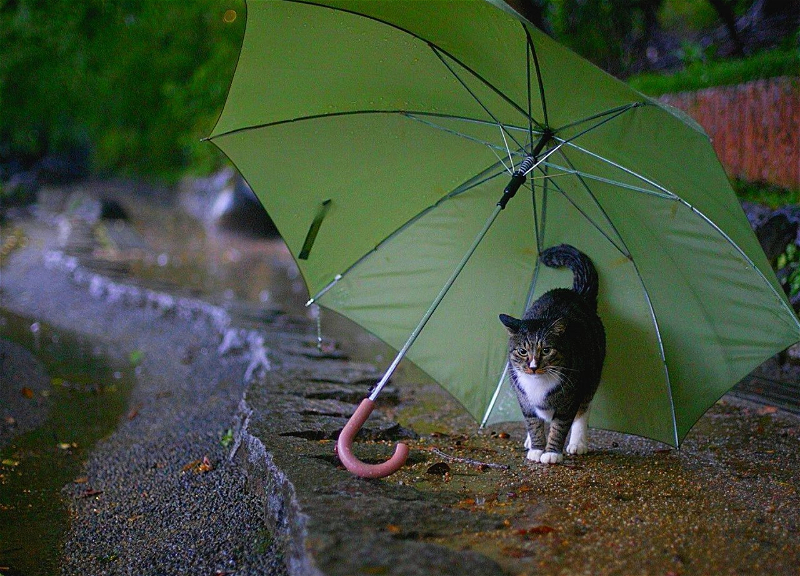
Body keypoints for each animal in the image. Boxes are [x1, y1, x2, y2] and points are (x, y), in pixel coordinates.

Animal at [500, 245, 608, 466]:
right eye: (522, 351)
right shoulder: (524, 399)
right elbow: (533, 422)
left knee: (584, 410)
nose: (533, 366)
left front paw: (551, 453)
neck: (538, 384)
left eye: (546, 350)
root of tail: (576, 294)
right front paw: (536, 448)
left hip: (591, 378)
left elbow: (560, 427)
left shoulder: (569, 400)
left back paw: (578, 443)